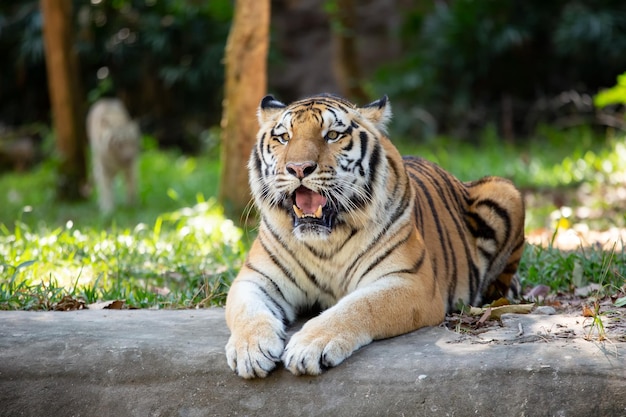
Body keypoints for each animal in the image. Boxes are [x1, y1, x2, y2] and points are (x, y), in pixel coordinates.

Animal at [224, 93, 520, 376]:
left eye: (332, 135)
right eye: (284, 137)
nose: (298, 168)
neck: (324, 241)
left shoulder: (410, 281)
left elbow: (359, 306)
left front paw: (309, 345)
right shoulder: (255, 279)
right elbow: (247, 312)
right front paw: (250, 350)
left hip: (505, 191)